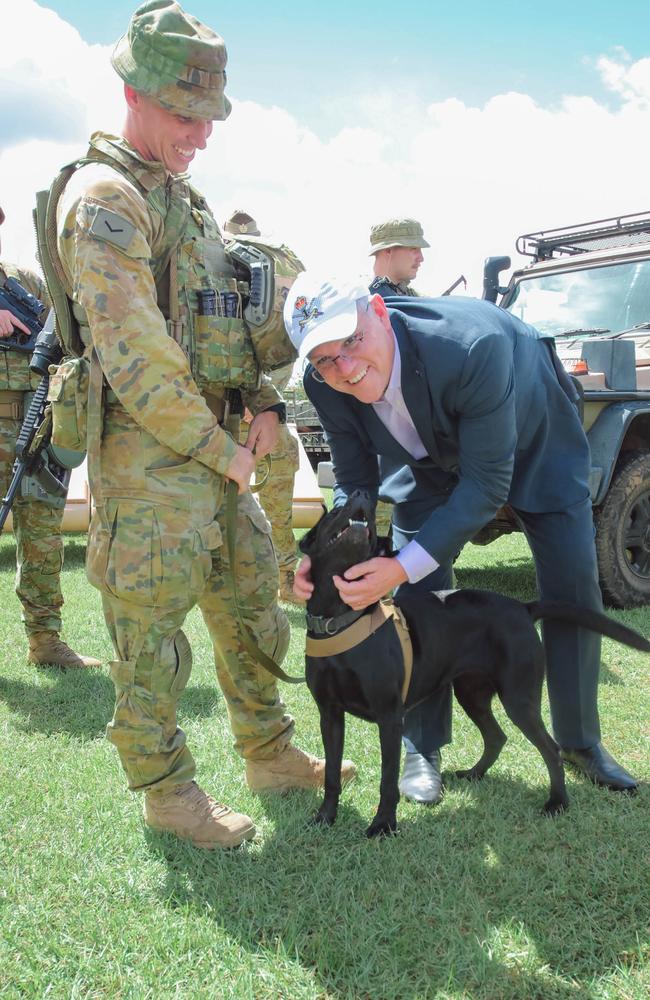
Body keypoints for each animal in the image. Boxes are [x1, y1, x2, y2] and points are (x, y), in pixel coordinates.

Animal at [300, 492, 648, 836]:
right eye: (334, 510)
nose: (363, 495)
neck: (339, 620)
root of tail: (524, 608)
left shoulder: (389, 716)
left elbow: (388, 779)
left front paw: (383, 824)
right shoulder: (329, 716)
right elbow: (331, 774)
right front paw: (325, 817)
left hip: (519, 698)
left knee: (551, 748)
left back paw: (557, 802)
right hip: (472, 693)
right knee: (497, 737)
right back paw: (474, 774)